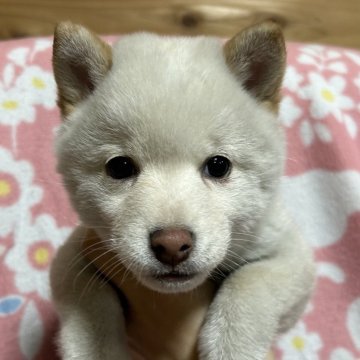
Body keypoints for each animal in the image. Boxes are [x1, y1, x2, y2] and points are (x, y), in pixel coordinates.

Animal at [50, 20, 316, 360]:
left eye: (219, 166)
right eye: (119, 167)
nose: (172, 245)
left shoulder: (288, 254)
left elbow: (250, 283)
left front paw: (232, 346)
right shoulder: (75, 255)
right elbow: (90, 304)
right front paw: (97, 350)